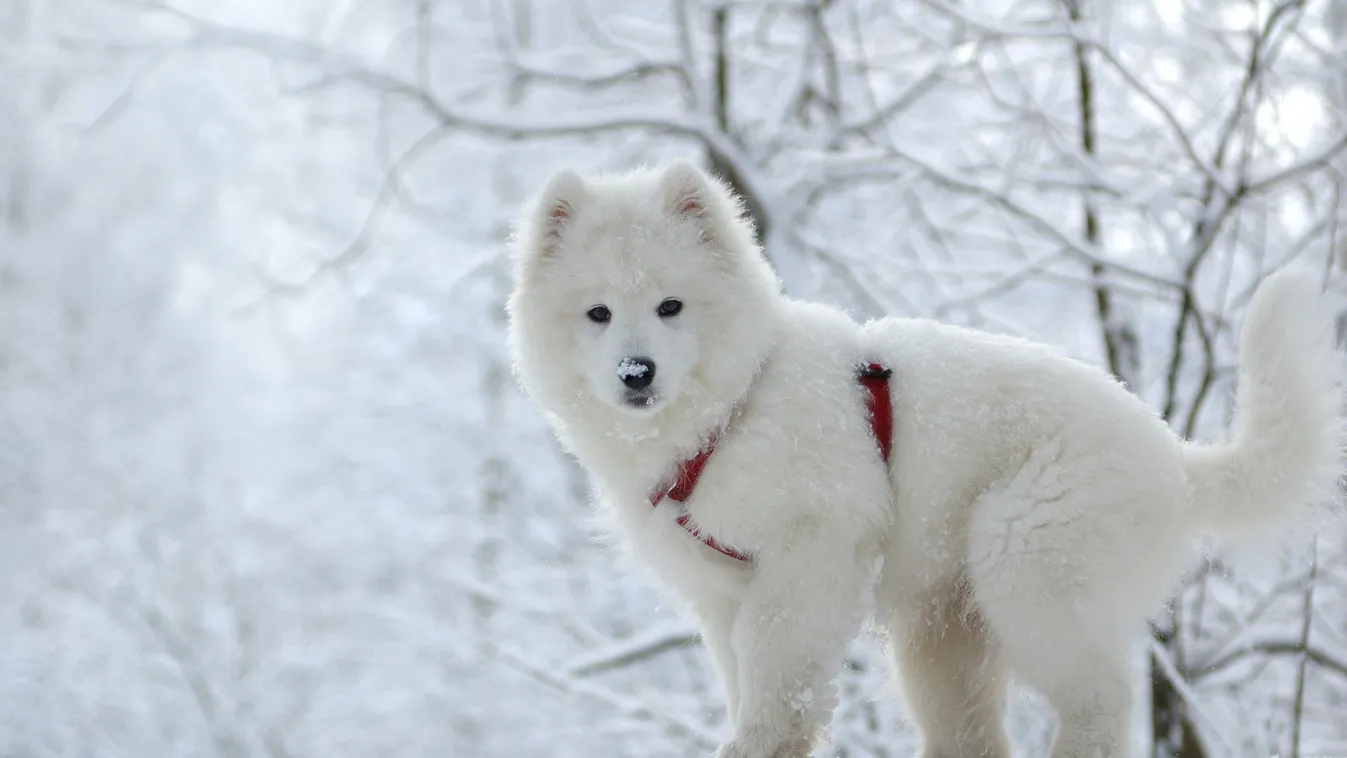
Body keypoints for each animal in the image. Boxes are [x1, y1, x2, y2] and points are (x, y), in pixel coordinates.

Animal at [503, 161, 1336, 758]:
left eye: (670, 306)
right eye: (597, 313)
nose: (634, 373)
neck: (732, 412)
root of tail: (1174, 459)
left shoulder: (812, 550)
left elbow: (779, 677)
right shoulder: (718, 592)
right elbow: (746, 678)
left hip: (1029, 567)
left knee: (1099, 704)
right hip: (944, 637)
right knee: (977, 734)